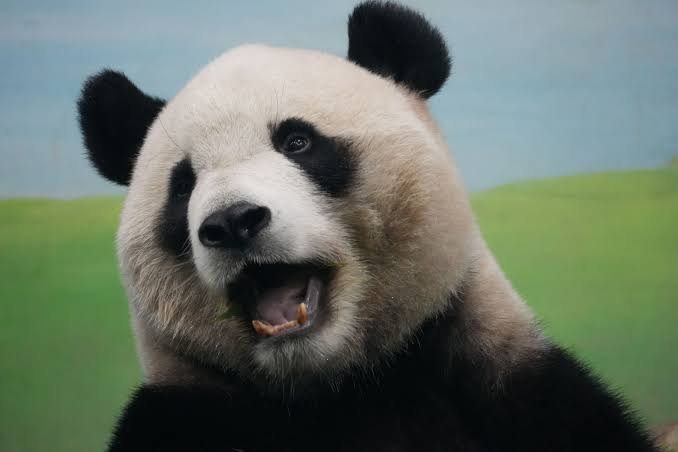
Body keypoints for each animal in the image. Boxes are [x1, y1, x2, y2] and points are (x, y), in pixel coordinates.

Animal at [77, 2, 657, 451]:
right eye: (183, 185)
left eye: (297, 142)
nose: (233, 222)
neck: (340, 384)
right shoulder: (186, 414)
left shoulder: (513, 385)